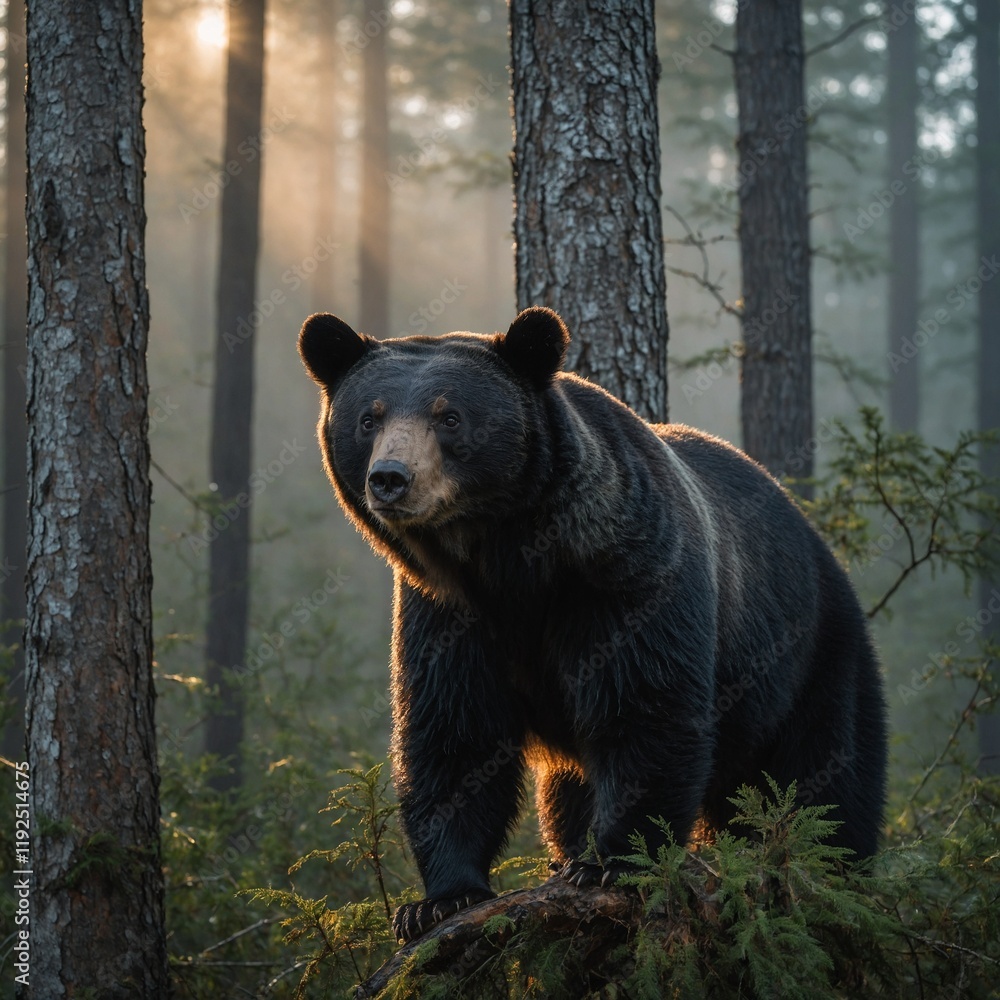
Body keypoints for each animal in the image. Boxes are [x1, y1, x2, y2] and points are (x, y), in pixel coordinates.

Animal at [297, 306, 888, 945]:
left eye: (449, 416)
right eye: (368, 418)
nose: (390, 478)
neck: (509, 557)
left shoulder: (623, 577)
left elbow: (644, 712)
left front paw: (611, 863)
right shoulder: (448, 614)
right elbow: (454, 734)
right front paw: (440, 899)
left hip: (812, 656)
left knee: (829, 779)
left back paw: (834, 873)